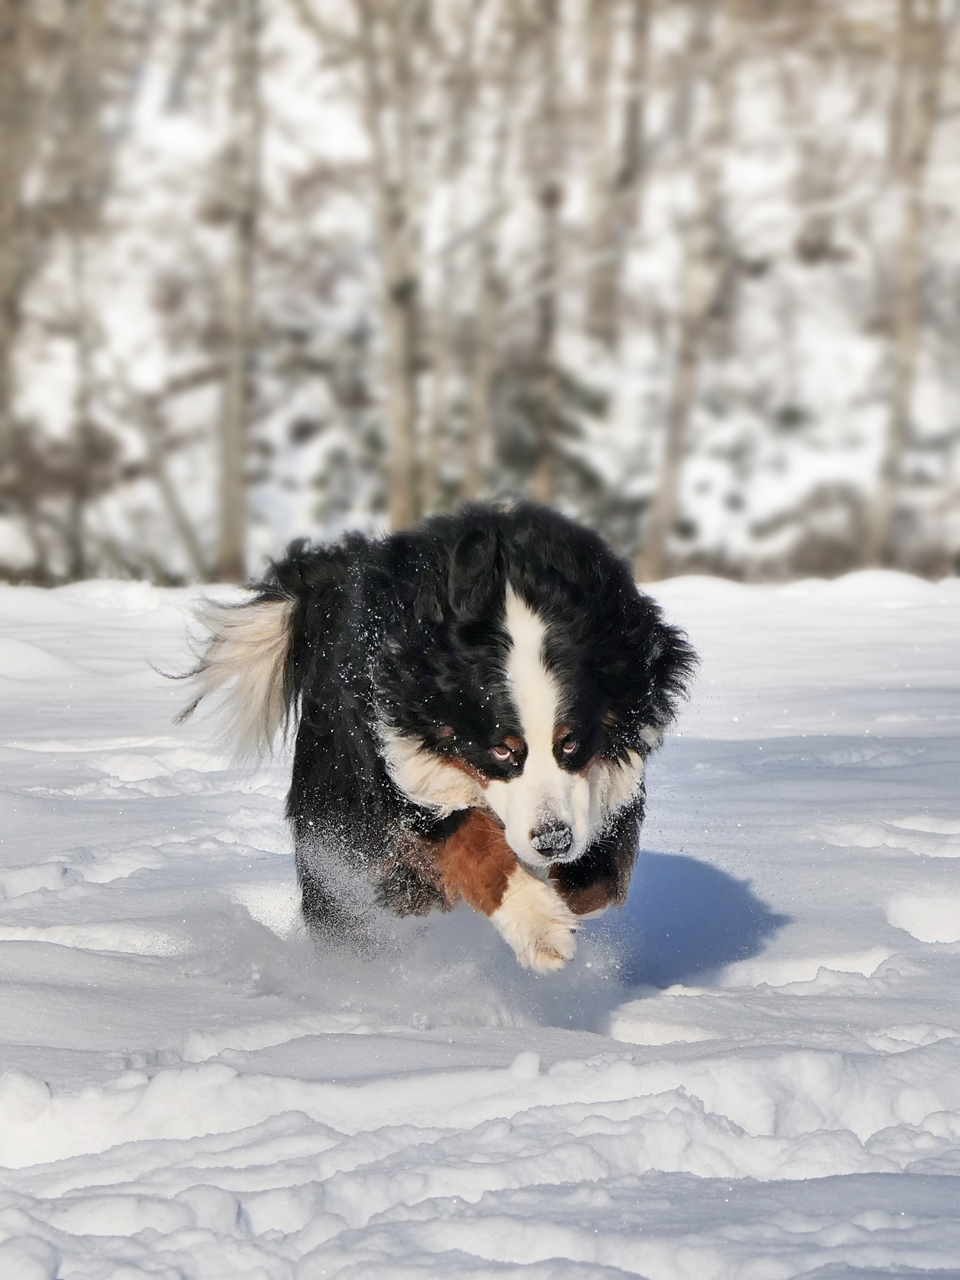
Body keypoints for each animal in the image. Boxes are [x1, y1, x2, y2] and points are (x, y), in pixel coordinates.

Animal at [180, 504, 696, 972]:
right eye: (502, 749)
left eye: (569, 742)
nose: (553, 841)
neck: (512, 591)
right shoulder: (398, 760)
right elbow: (471, 842)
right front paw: (540, 925)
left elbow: (600, 876)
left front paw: (567, 892)